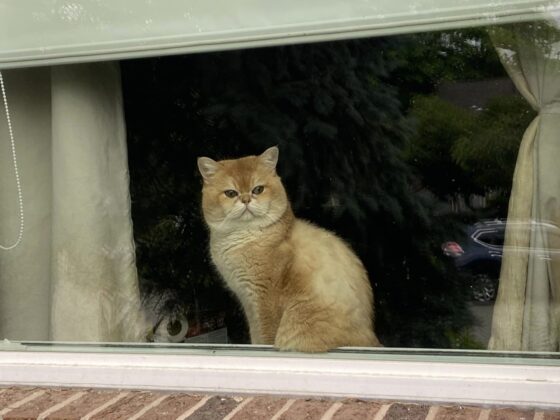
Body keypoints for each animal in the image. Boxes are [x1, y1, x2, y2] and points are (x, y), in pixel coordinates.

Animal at [197, 148, 380, 352]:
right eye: (230, 193)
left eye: (258, 189)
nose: (245, 199)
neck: (244, 239)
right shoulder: (248, 302)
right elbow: (255, 334)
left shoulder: (264, 299)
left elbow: (266, 336)